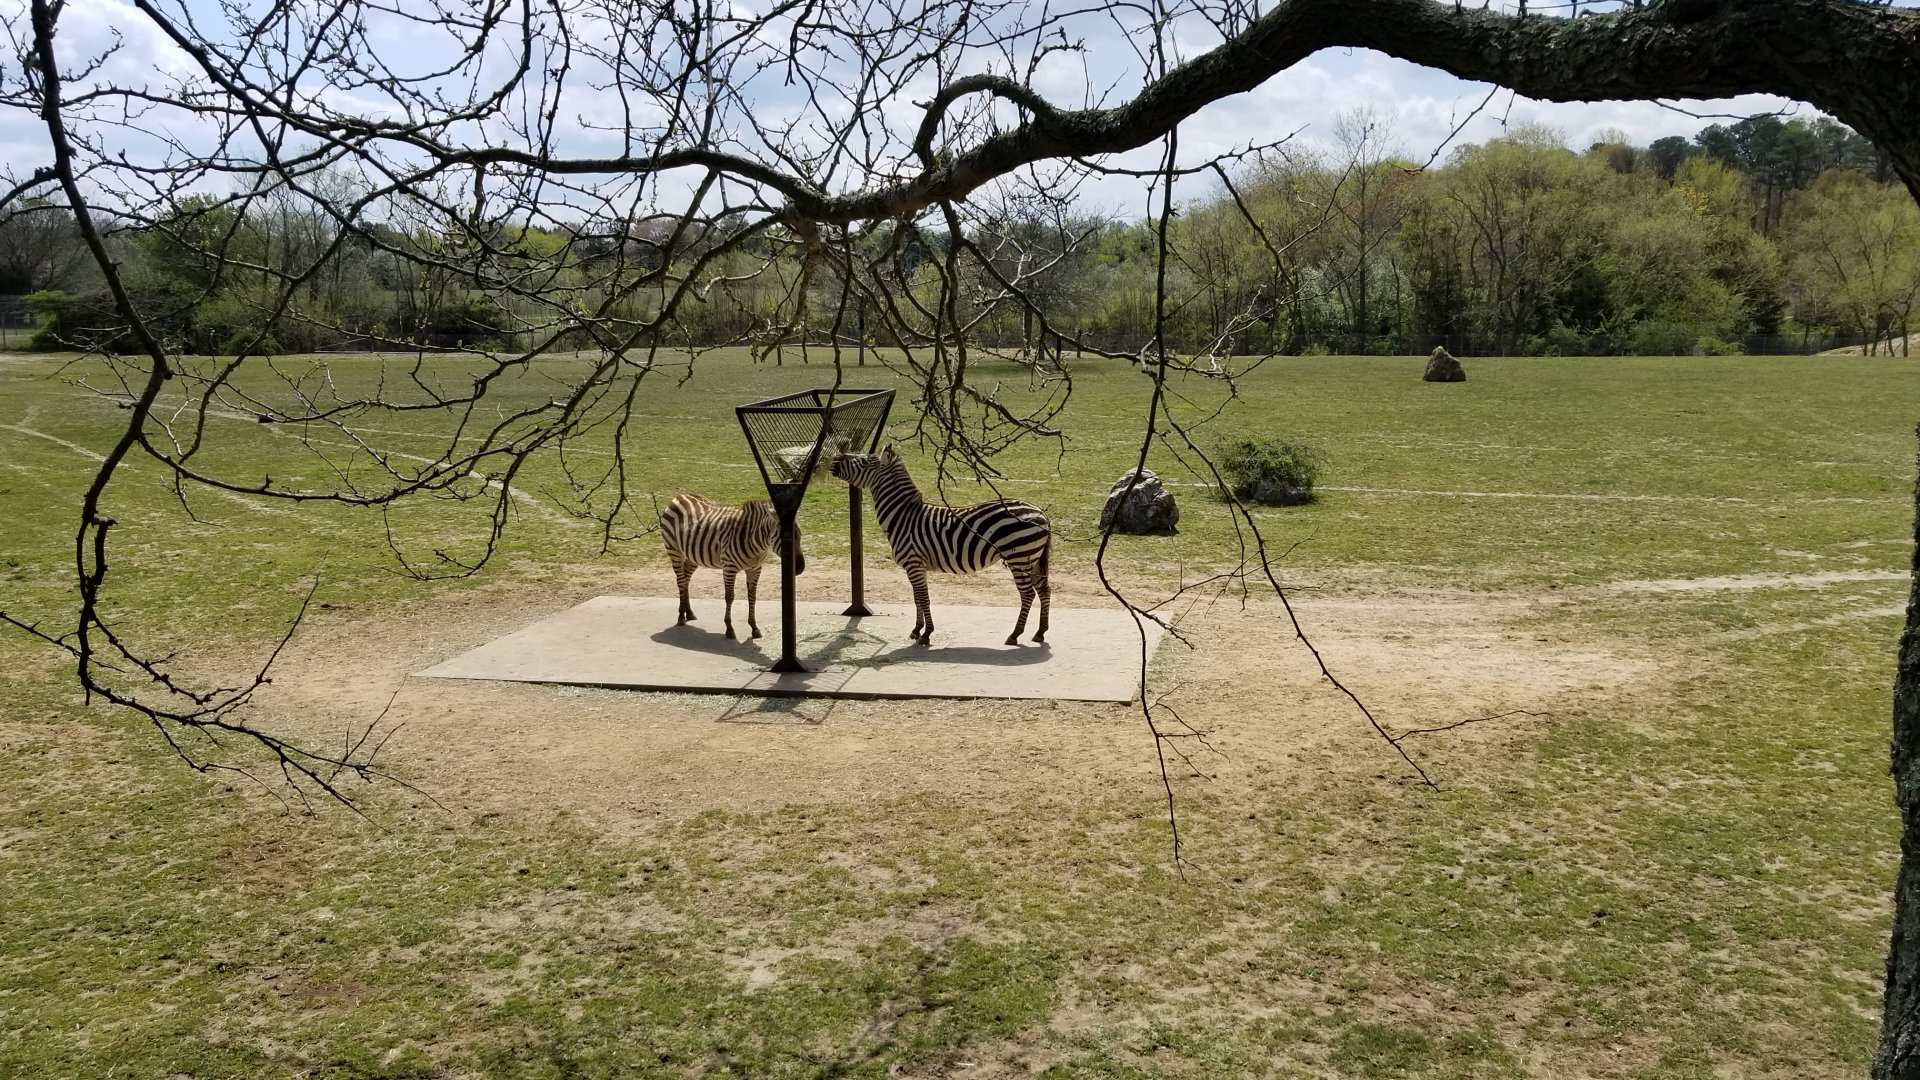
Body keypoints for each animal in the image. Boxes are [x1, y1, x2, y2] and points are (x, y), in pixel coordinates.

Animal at [658, 494, 804, 640]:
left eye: (800, 535)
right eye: (785, 538)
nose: (800, 568)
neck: (753, 540)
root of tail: (680, 496)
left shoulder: (755, 569)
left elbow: (752, 597)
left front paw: (754, 628)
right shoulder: (729, 568)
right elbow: (729, 597)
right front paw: (729, 628)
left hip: (692, 556)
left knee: (686, 580)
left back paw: (689, 613)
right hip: (674, 550)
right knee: (681, 582)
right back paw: (681, 616)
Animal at [829, 446, 1051, 647]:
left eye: (865, 460)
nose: (834, 459)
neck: (902, 517)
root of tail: (1041, 512)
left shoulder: (914, 563)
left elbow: (923, 598)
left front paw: (926, 634)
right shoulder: (915, 566)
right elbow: (917, 598)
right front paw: (916, 630)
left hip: (1019, 557)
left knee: (1028, 594)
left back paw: (1015, 635)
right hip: (1033, 559)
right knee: (1044, 590)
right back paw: (1040, 633)